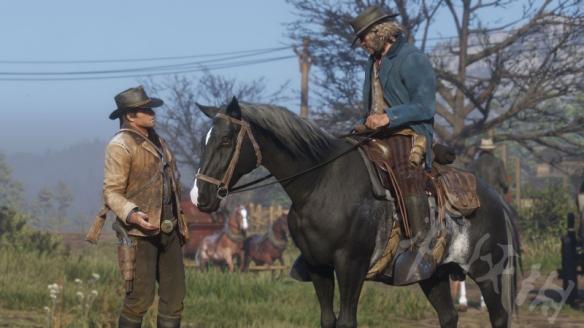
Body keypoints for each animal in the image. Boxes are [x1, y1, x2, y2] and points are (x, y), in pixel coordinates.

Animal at [194, 98, 524, 328]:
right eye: (205, 140)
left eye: (226, 140)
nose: (201, 196)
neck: (320, 184)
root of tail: (497, 200)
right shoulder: (319, 267)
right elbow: (328, 319)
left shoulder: (351, 266)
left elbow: (346, 320)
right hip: (434, 275)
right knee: (448, 317)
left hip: (490, 276)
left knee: (499, 318)